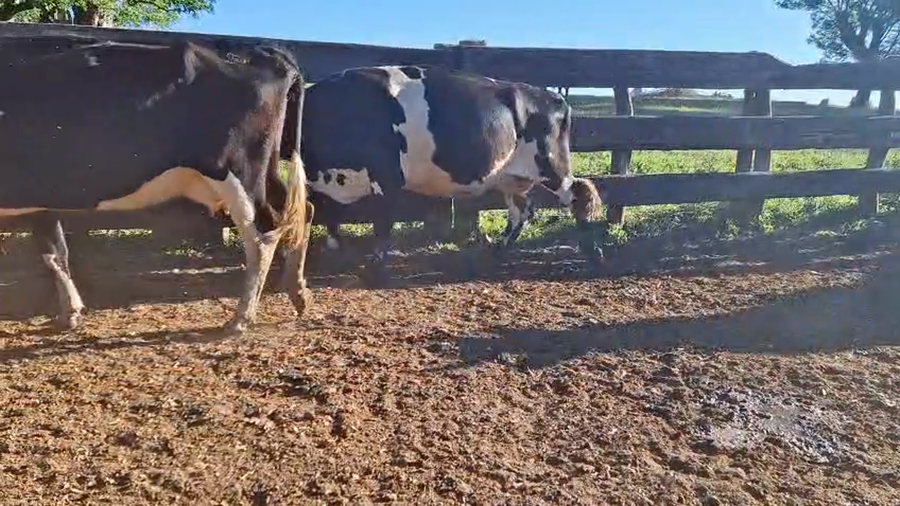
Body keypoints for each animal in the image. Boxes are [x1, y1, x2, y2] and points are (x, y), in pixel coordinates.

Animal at [0, 39, 314, 334]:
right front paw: (70, 314)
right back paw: (297, 292)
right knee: (300, 212)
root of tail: (263, 52)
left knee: (262, 234)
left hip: (238, 170)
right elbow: (56, 253)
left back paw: (241, 318)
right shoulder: (41, 201)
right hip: (267, 169)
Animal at [299, 64, 603, 284]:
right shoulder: (325, 181)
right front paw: (336, 251)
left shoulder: (388, 177)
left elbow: (382, 225)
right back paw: (498, 251)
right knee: (523, 211)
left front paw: (375, 268)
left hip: (551, 165)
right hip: (510, 177)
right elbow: (329, 215)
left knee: (578, 196)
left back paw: (594, 255)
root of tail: (553, 96)